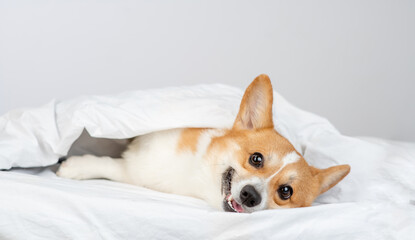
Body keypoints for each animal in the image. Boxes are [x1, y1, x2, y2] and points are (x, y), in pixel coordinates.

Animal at [57, 74, 352, 213]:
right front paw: (75, 165)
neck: (198, 176)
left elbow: (113, 166)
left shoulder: (135, 172)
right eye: (256, 158)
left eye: (286, 192)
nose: (250, 195)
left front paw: (77, 166)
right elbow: (109, 162)